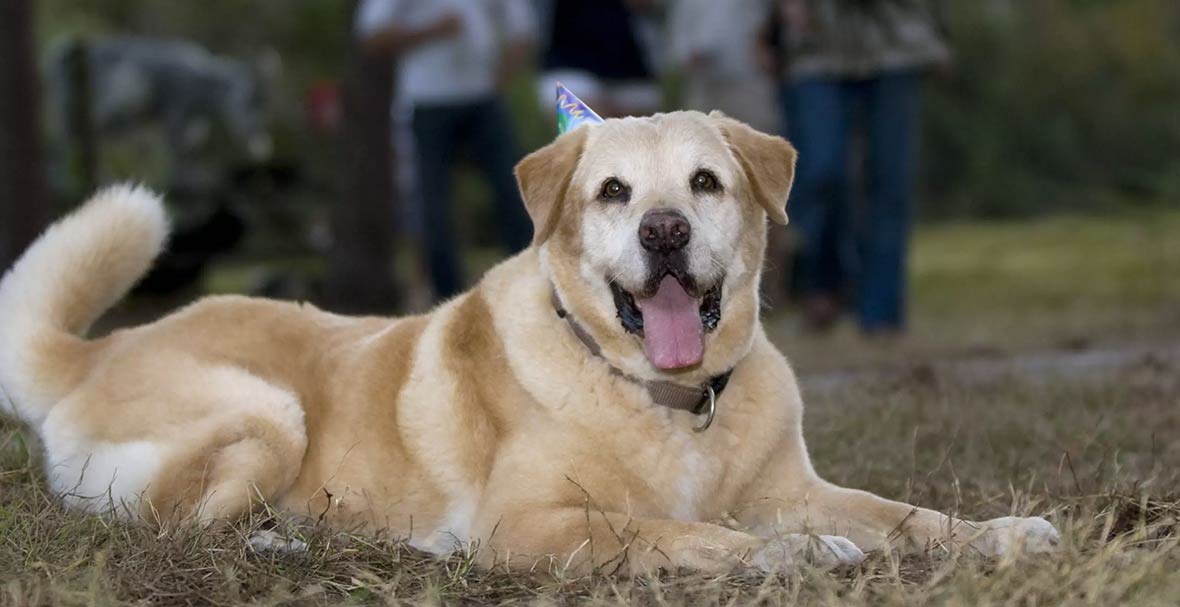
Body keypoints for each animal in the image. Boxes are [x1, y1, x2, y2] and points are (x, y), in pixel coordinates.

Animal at [0, 109, 1057, 571]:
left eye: (706, 182)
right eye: (614, 192)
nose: (663, 232)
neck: (668, 399)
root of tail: (95, 350)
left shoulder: (792, 488)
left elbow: (901, 511)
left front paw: (1001, 532)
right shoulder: (528, 522)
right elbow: (660, 527)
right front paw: (782, 555)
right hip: (267, 414)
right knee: (167, 523)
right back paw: (284, 541)